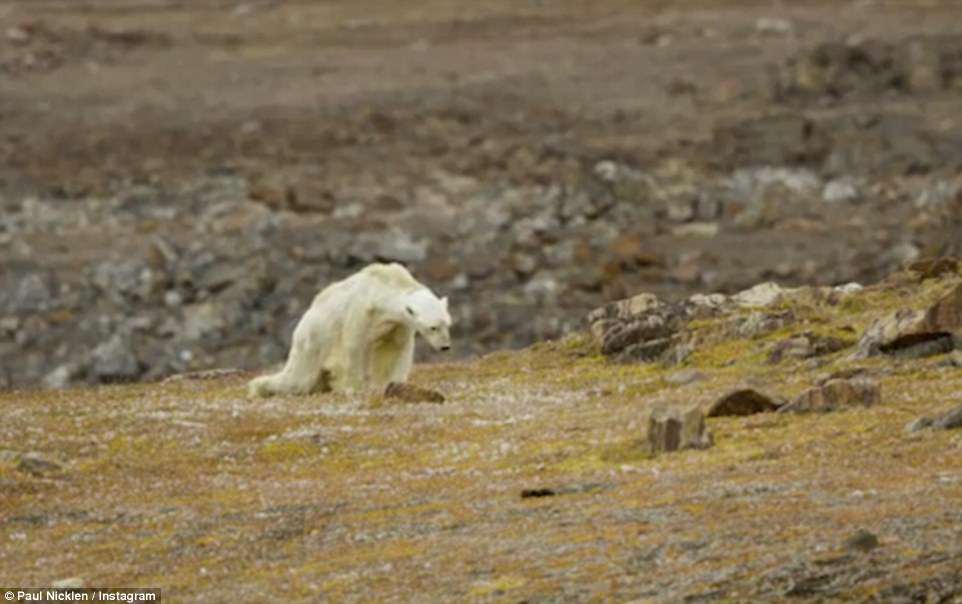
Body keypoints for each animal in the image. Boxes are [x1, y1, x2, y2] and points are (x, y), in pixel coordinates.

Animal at [251, 264, 454, 396]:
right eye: (433, 327)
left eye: (448, 324)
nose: (445, 347)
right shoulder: (361, 311)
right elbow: (354, 346)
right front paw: (352, 387)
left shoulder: (397, 323)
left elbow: (395, 348)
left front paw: (392, 384)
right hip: (313, 339)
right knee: (298, 378)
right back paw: (259, 387)